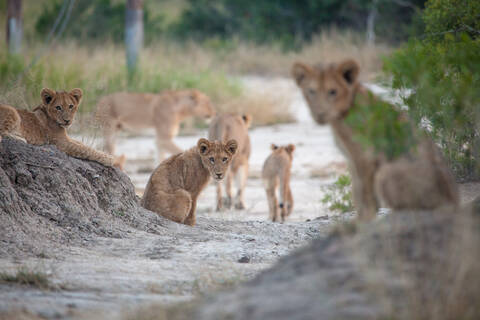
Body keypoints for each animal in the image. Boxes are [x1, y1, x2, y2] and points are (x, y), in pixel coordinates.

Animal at [290, 58, 460, 220]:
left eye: (332, 92)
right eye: (311, 91)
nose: (320, 114)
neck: (341, 116)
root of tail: (453, 201)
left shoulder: (365, 156)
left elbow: (364, 193)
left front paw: (365, 219)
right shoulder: (352, 158)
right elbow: (356, 190)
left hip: (385, 172)